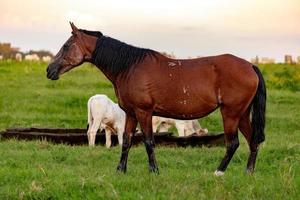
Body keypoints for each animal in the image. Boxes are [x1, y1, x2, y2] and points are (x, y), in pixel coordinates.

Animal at [45, 22, 266, 175]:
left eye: (66, 46)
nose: (49, 70)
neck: (130, 67)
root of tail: (249, 66)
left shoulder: (144, 113)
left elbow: (149, 141)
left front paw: (154, 171)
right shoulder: (131, 114)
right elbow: (126, 141)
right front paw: (120, 170)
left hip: (230, 114)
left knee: (233, 143)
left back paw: (219, 172)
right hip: (242, 114)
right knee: (253, 141)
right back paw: (248, 173)